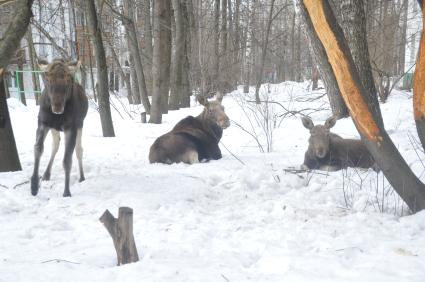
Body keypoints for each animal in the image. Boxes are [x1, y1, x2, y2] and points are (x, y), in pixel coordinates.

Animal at [31, 58, 88, 197]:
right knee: (55, 146)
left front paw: (66, 191)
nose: (57, 106)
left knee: (79, 150)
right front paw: (34, 185)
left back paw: (82, 176)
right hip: (54, 128)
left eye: (68, 79)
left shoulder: (71, 127)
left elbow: (67, 159)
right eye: (47, 77)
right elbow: (38, 148)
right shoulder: (43, 123)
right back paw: (46, 174)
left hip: (80, 125)